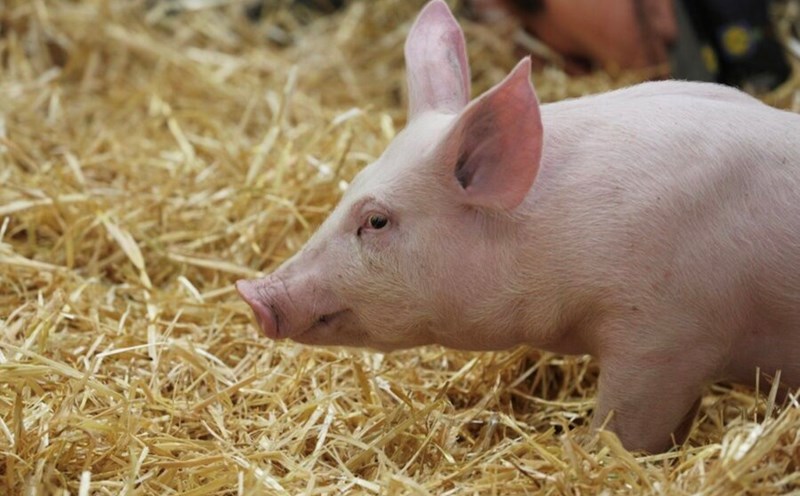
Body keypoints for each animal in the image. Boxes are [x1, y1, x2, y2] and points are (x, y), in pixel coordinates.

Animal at [236, 0, 800, 453]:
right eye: (351, 184)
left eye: (376, 220)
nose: (252, 292)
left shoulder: (665, 339)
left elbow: (625, 429)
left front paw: (586, 455)